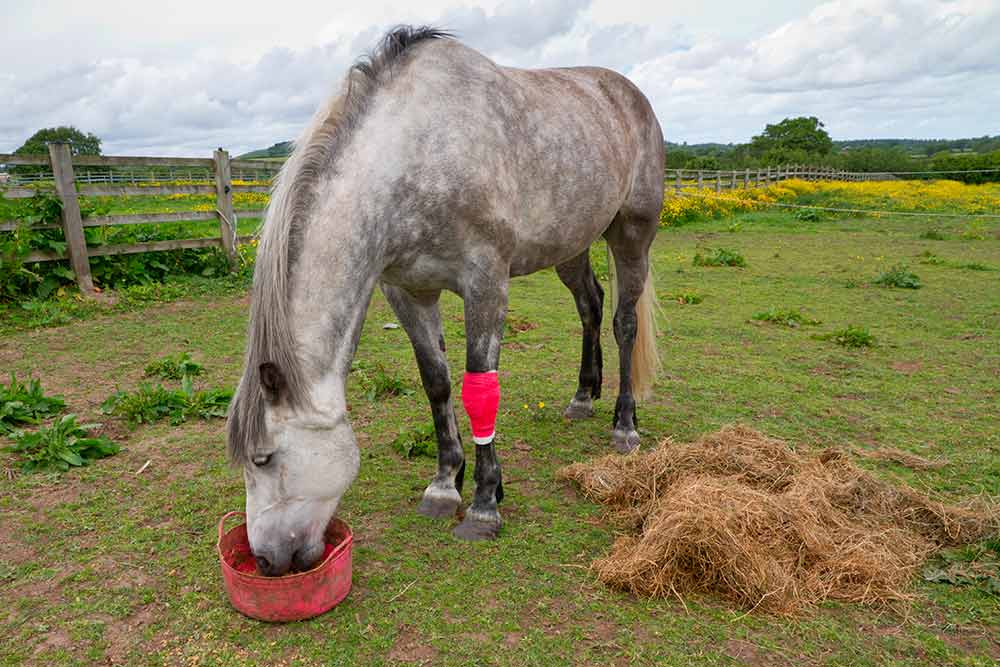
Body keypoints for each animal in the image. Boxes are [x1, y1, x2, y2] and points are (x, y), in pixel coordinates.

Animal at [227, 26, 664, 576]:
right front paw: (444, 483)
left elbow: (480, 388)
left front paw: (484, 503)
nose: (266, 560)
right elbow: (436, 381)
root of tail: (629, 94)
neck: (413, 154)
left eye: (265, 458)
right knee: (591, 305)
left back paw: (624, 424)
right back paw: (584, 396)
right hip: (572, 245)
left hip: (632, 235)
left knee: (624, 321)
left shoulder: (486, 283)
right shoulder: (406, 291)